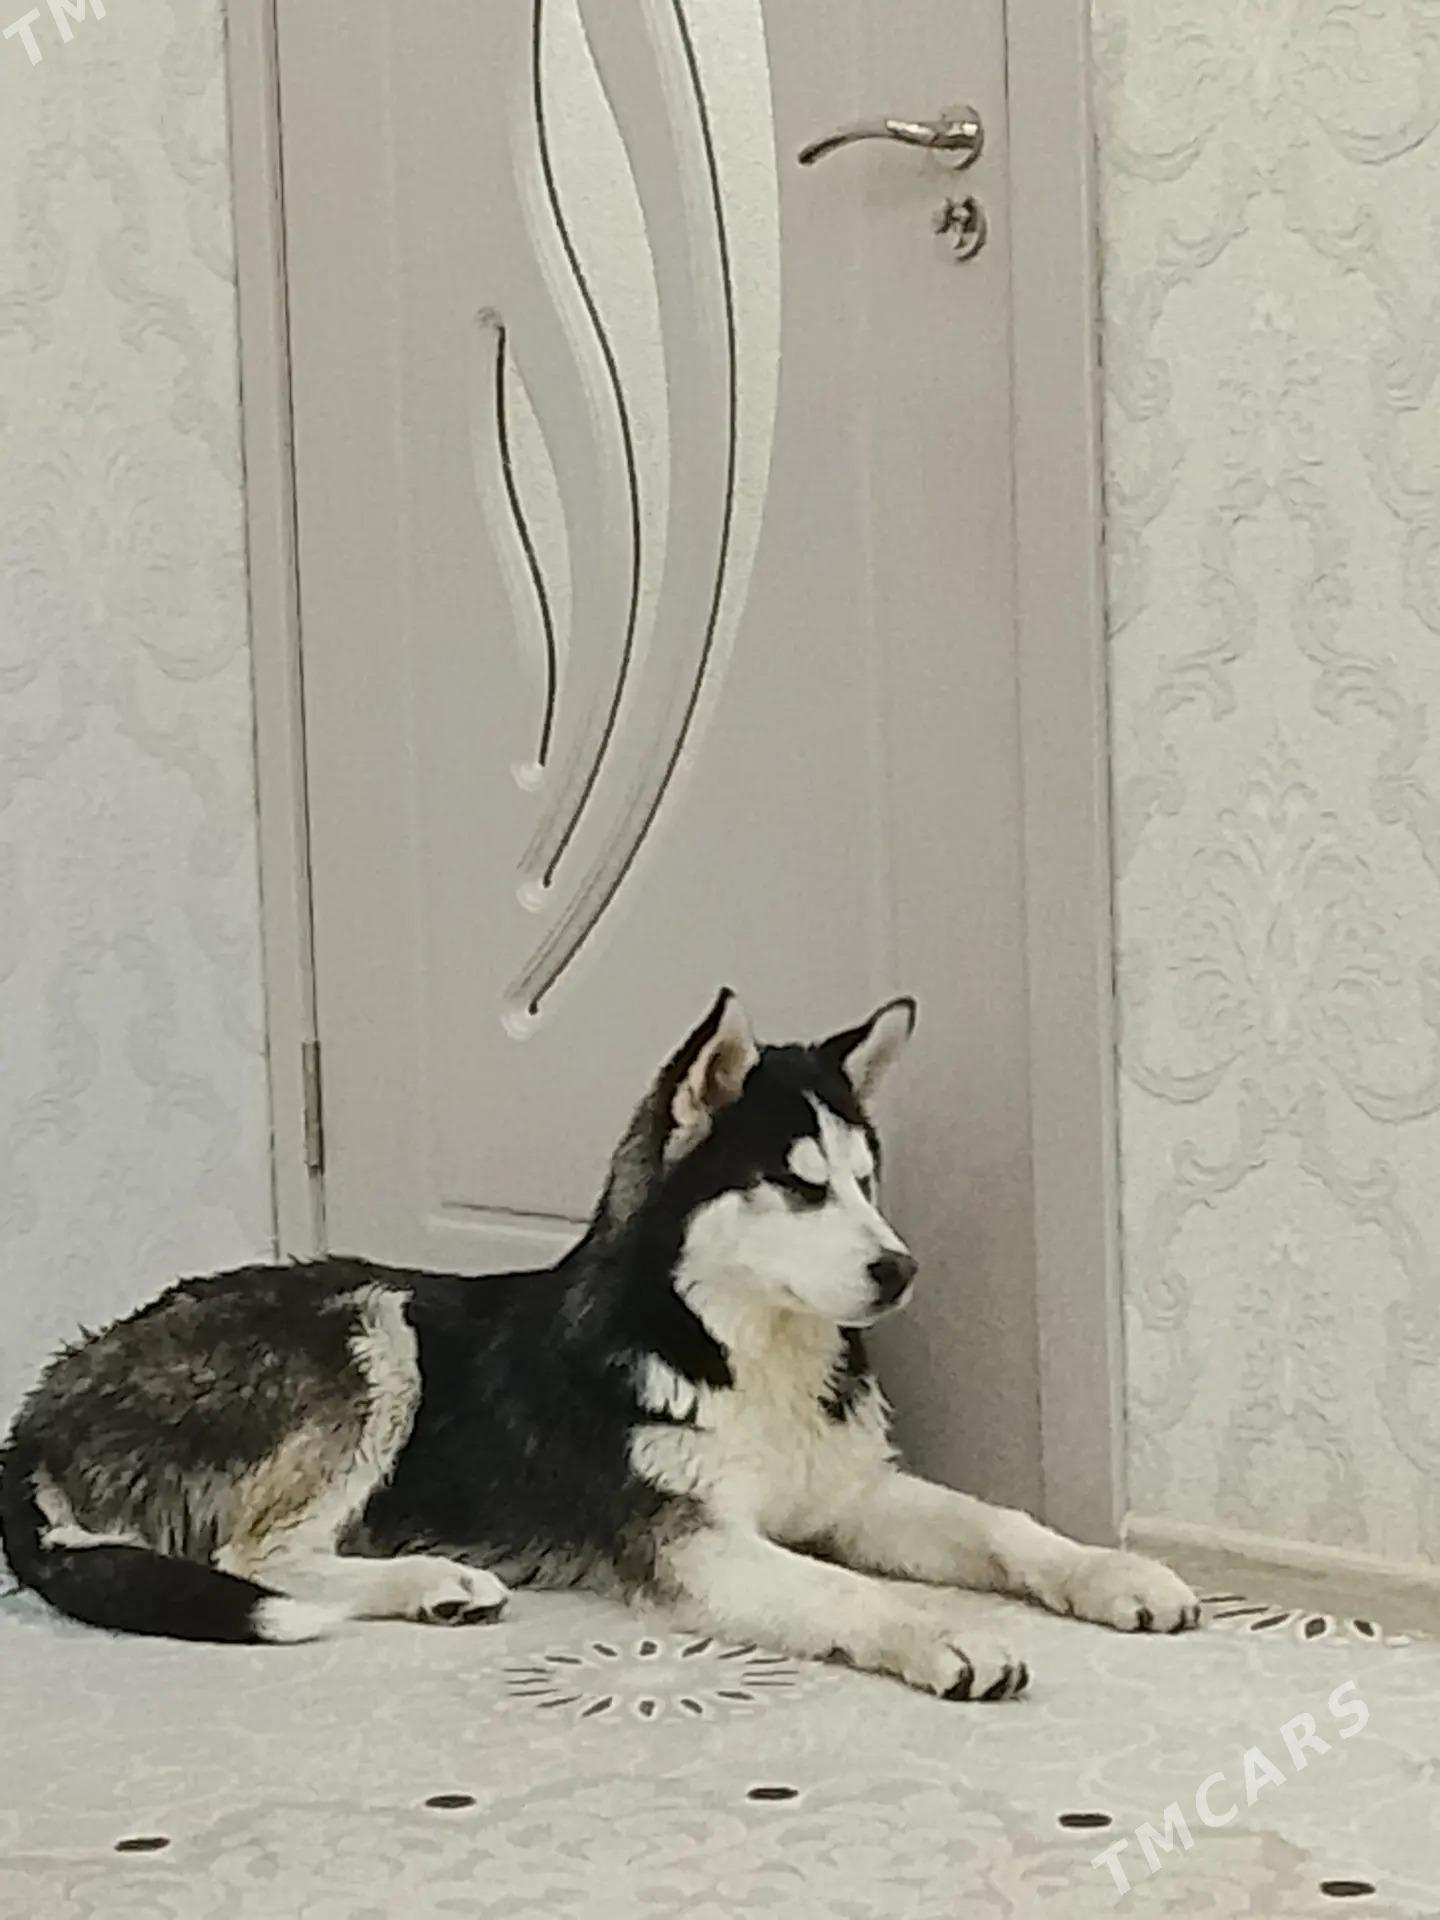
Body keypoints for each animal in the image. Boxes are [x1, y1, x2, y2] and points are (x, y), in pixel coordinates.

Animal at [0, 991, 1198, 1697]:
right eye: (795, 1183)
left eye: (867, 1181)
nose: (900, 1271)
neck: (739, 1353)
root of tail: (44, 1398)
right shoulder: (693, 1540)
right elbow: (840, 1592)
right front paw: (941, 1634)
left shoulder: (857, 1495)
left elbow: (1007, 1528)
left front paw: (1118, 1573)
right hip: (369, 1322)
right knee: (254, 1558)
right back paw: (430, 1578)